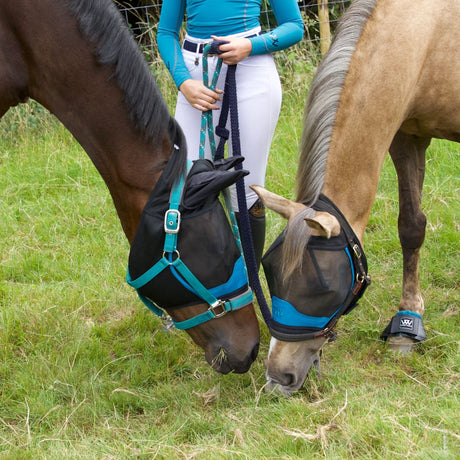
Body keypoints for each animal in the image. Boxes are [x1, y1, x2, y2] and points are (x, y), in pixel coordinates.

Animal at [253, 0, 458, 396]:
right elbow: (411, 227)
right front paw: (407, 322)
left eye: (322, 289)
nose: (278, 378)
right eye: (270, 273)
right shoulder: (405, 135)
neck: (428, 36)